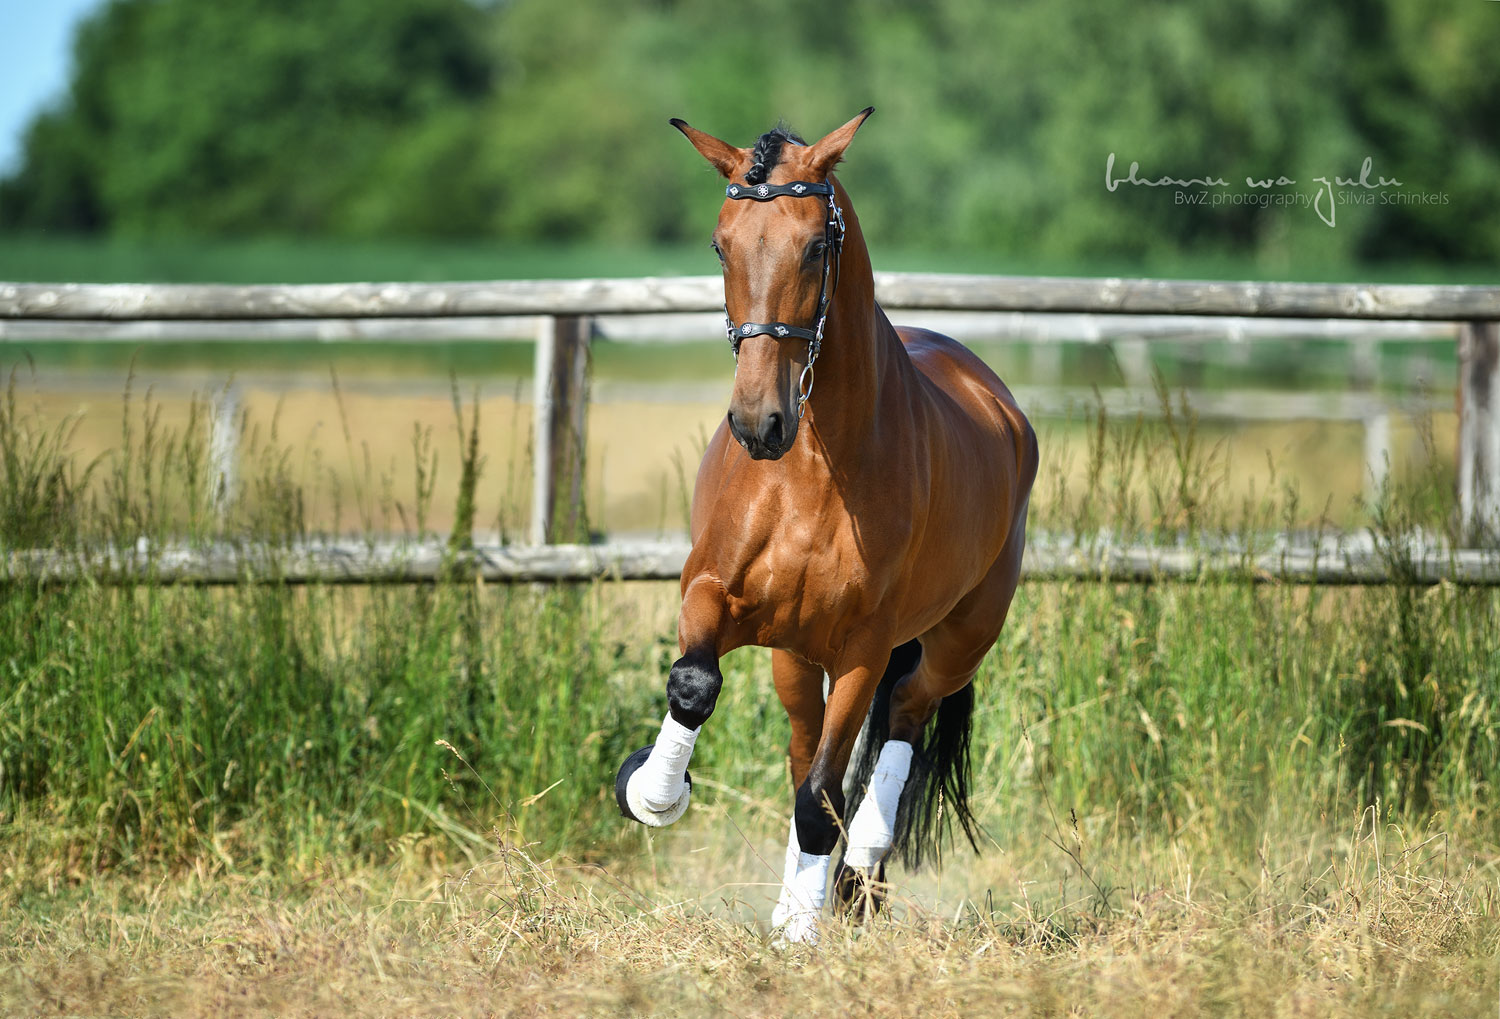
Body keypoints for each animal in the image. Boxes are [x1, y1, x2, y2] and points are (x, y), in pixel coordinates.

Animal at [615, 107, 1038, 942]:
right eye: (721, 243)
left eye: (816, 244)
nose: (758, 423)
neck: (810, 474)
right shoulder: (715, 594)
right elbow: (694, 684)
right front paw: (651, 790)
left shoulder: (862, 650)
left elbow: (821, 796)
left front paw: (799, 931)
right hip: (792, 655)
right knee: (808, 752)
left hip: (958, 642)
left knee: (898, 722)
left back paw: (854, 880)